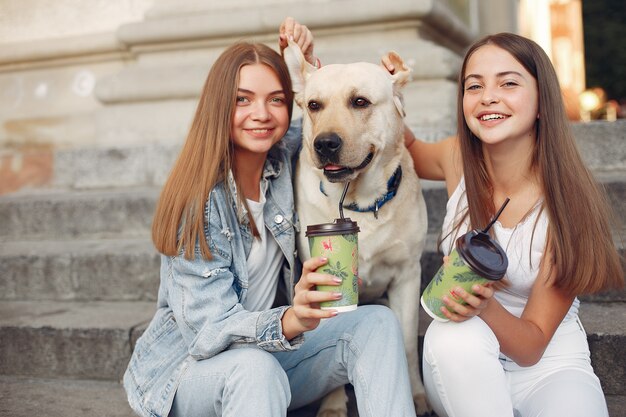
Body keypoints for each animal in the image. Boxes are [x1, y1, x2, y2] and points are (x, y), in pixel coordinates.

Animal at [284, 40, 426, 414]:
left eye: (360, 101)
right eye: (314, 105)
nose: (324, 143)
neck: (358, 203)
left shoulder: (408, 274)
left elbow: (408, 343)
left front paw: (417, 393)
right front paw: (333, 404)